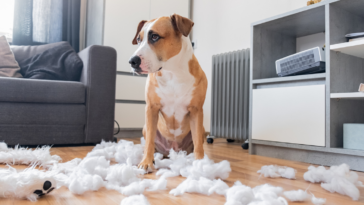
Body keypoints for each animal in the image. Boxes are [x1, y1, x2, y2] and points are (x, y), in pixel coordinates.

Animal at [128, 13, 208, 170]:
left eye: (154, 36)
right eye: (139, 39)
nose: (132, 61)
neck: (172, 72)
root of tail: (173, 150)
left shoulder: (196, 110)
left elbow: (197, 143)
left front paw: (200, 165)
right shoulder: (151, 108)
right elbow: (149, 141)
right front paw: (146, 162)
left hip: (202, 129)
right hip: (145, 128)